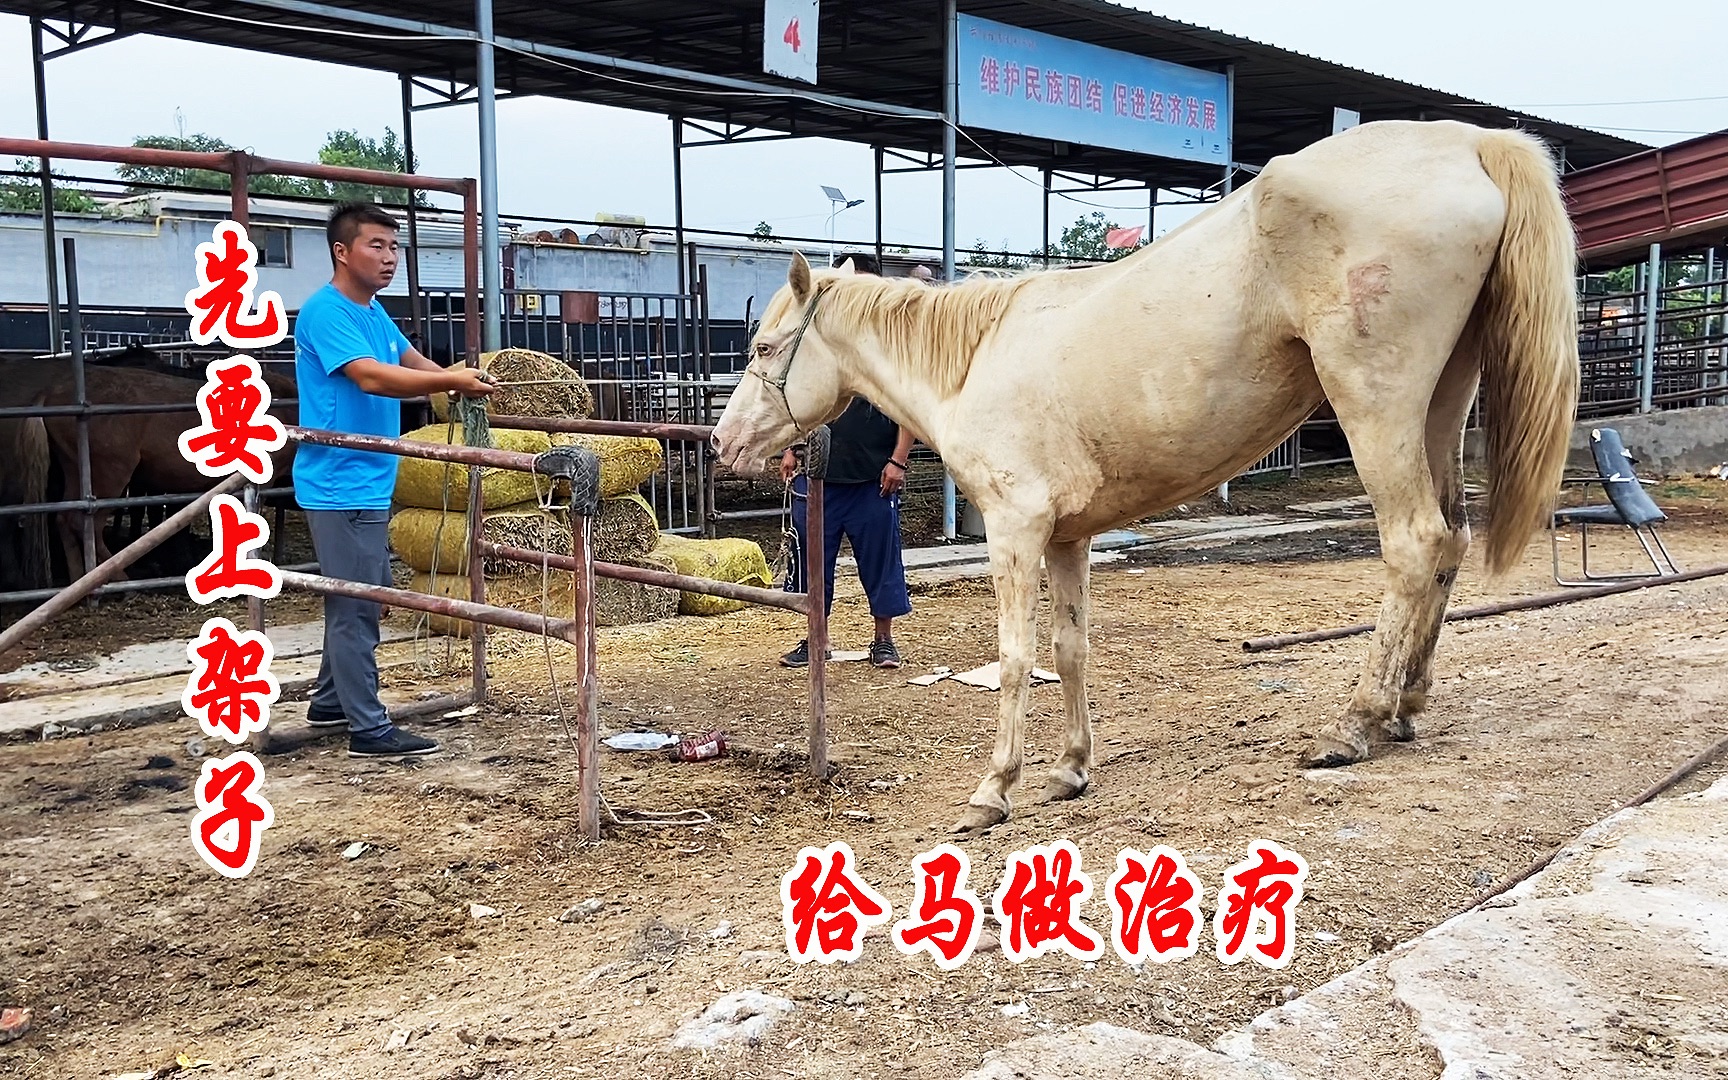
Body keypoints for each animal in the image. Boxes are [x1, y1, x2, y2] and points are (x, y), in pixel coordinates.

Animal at [711, 117, 1582, 829]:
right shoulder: (1067, 538)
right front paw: (1070, 770)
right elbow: (1070, 650)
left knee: (1413, 542)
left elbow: (1016, 656)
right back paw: (1405, 706)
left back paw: (1355, 723)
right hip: (1441, 402)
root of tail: (1467, 142)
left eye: (762, 347)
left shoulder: (1015, 526)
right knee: (1452, 541)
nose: (723, 442)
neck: (975, 360)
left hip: (1377, 404)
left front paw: (994, 789)